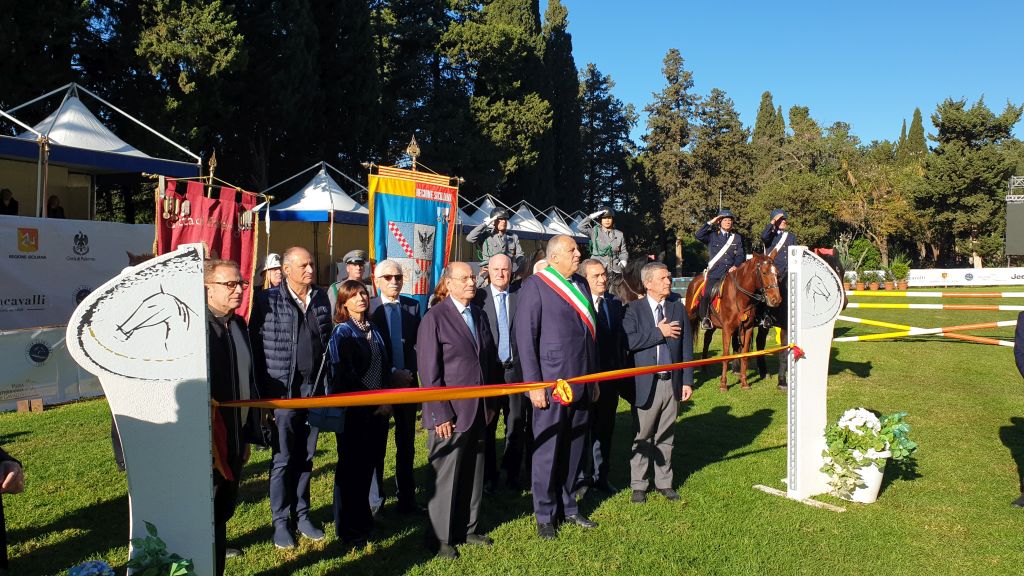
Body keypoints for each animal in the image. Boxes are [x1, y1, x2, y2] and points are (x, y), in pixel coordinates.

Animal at [688, 251, 782, 389]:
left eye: (777, 273)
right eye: (764, 272)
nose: (776, 300)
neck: (739, 296)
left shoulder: (747, 328)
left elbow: (744, 354)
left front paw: (744, 383)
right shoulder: (727, 329)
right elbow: (726, 355)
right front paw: (723, 385)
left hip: (713, 324)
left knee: (707, 339)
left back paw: (704, 367)